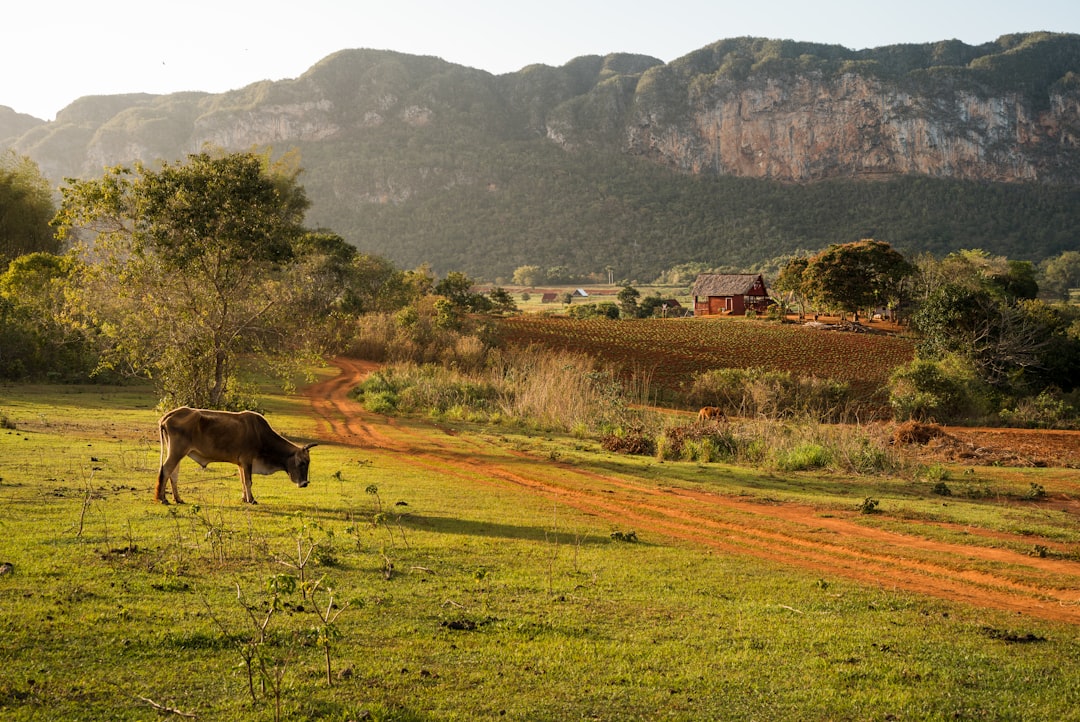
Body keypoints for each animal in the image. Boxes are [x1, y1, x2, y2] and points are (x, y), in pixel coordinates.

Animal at [156, 407, 315, 505]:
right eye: (302, 463)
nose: (305, 483)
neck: (261, 435)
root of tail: (169, 415)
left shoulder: (241, 463)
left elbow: (243, 481)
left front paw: (245, 498)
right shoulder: (247, 460)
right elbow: (248, 481)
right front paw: (252, 500)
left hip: (176, 452)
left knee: (173, 474)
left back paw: (177, 499)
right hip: (177, 452)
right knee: (166, 470)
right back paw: (162, 498)